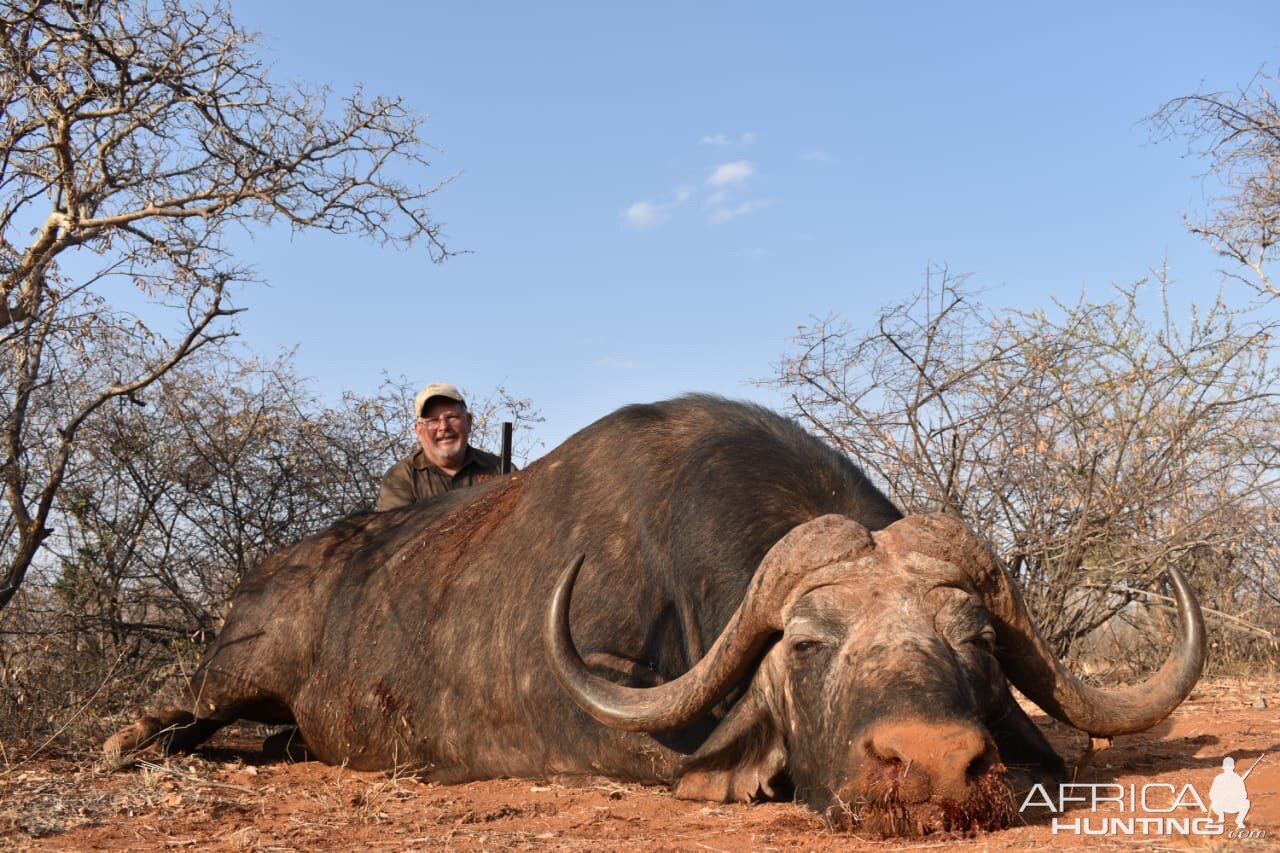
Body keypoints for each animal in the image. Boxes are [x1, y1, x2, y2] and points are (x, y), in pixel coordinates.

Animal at [104, 394, 1203, 835]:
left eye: (973, 640)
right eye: (808, 644)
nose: (932, 767)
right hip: (234, 670)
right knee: (177, 708)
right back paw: (129, 741)